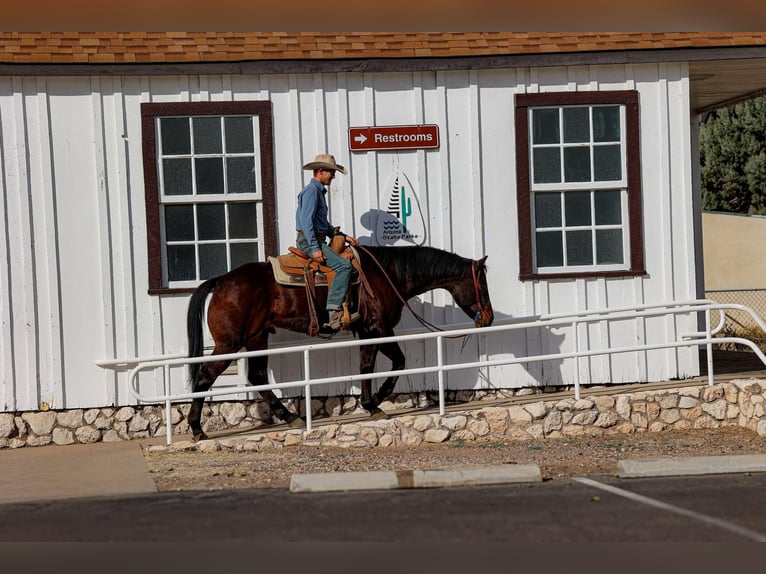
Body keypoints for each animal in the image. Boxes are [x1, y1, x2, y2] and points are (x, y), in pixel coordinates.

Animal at [187, 246, 498, 440]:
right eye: (482, 285)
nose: (489, 317)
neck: (388, 273)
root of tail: (221, 281)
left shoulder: (372, 331)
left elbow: (383, 363)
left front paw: (374, 401)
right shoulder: (377, 328)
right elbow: (380, 365)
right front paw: (373, 405)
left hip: (256, 338)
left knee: (258, 375)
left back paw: (289, 416)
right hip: (229, 344)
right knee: (205, 377)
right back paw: (196, 428)